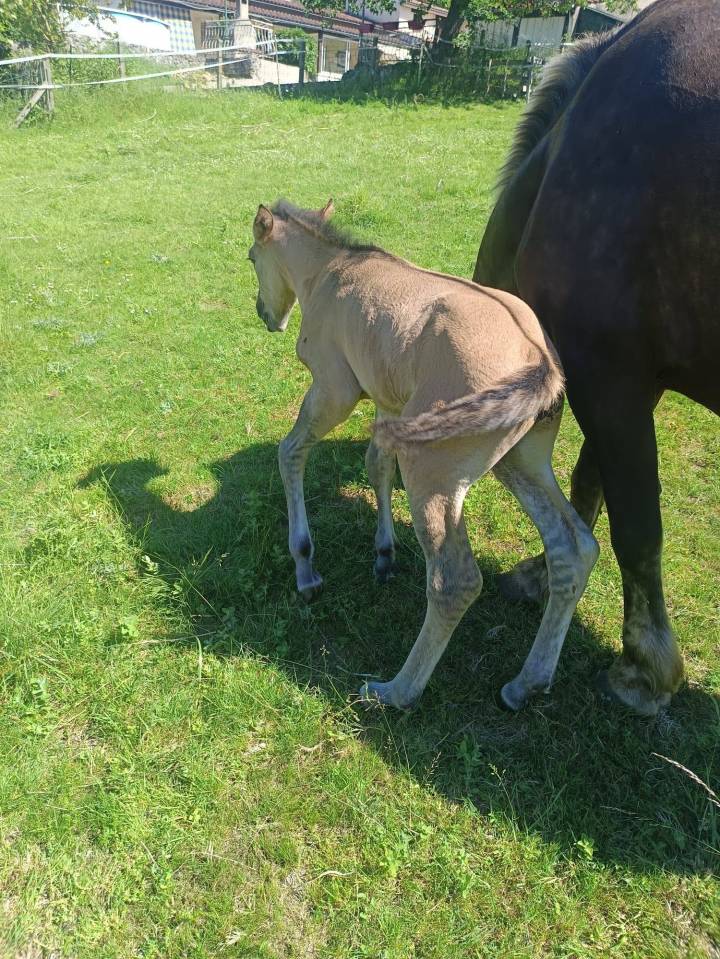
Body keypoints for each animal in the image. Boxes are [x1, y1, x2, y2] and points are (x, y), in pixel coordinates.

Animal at [249, 199, 598, 710]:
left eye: (251, 257)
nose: (265, 315)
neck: (333, 269)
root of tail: (541, 364)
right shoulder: (389, 403)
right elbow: (375, 465)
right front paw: (384, 554)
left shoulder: (334, 390)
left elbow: (290, 452)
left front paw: (306, 568)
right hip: (521, 462)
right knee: (574, 548)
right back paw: (526, 683)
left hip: (432, 469)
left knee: (455, 582)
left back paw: (395, 691)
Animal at [473, 0, 720, 716]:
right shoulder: (617, 376)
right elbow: (591, 481)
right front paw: (537, 573)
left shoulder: (608, 374)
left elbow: (637, 522)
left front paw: (644, 666)